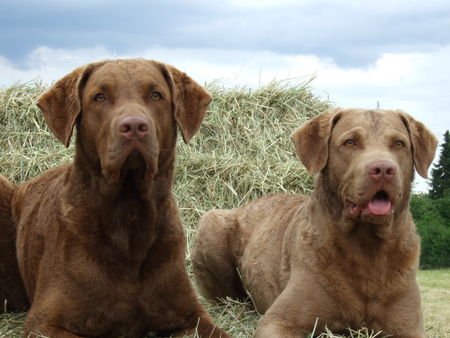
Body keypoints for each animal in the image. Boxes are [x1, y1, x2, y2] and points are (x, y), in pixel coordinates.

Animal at [0, 59, 229, 336]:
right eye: (100, 97)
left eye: (156, 95)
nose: (134, 127)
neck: (128, 213)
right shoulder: (43, 322)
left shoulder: (193, 316)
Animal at [192, 109, 438, 338]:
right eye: (350, 142)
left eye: (399, 143)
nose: (384, 170)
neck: (366, 248)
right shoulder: (278, 321)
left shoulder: (409, 327)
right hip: (210, 224)